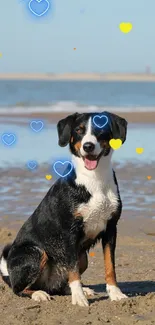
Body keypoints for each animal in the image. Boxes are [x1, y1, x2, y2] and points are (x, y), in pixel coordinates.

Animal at [0, 110, 128, 306]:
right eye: (79, 130)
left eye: (101, 129)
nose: (88, 146)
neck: (94, 179)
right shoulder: (69, 232)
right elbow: (73, 271)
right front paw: (79, 298)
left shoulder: (110, 229)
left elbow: (110, 266)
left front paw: (115, 293)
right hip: (35, 252)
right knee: (19, 289)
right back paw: (39, 294)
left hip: (83, 257)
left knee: (60, 285)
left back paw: (83, 290)